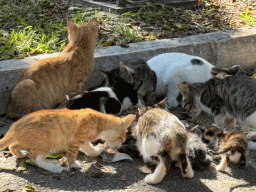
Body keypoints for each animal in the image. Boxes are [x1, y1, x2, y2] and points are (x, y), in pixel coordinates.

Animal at [0, 109, 136, 173]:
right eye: (122, 138)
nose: (118, 147)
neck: (99, 121)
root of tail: (14, 126)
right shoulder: (75, 140)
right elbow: (72, 154)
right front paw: (73, 164)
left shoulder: (83, 141)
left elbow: (90, 149)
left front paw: (97, 150)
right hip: (45, 142)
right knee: (35, 159)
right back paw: (53, 168)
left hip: (28, 140)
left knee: (13, 145)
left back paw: (20, 153)